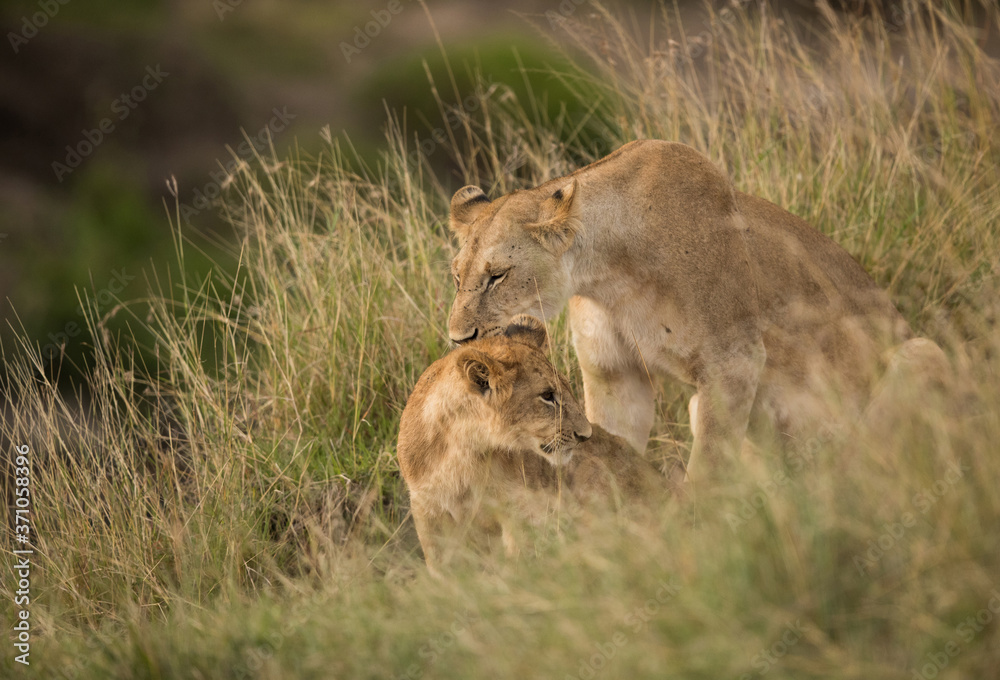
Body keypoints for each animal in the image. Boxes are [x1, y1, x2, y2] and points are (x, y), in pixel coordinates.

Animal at [397, 315, 661, 572]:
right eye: (547, 396)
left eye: (566, 388)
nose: (585, 435)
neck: (465, 448)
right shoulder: (426, 507)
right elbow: (439, 563)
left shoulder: (519, 505)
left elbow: (518, 556)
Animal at [445, 139, 949, 480]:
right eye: (456, 276)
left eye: (497, 276)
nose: (457, 339)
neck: (607, 273)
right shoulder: (614, 373)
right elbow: (609, 441)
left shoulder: (734, 361)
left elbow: (707, 470)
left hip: (923, 352)